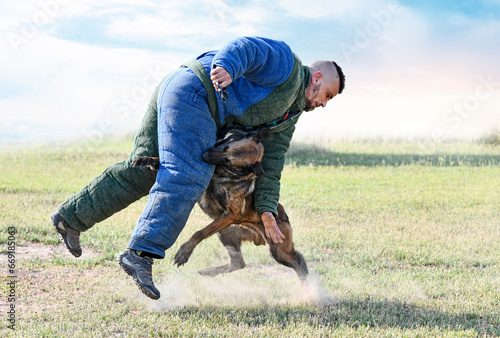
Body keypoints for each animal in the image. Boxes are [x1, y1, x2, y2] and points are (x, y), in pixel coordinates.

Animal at [131, 129, 306, 286]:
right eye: (226, 146)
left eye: (228, 161)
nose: (204, 155)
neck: (223, 173)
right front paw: (146, 160)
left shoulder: (231, 214)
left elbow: (199, 232)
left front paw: (185, 251)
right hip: (225, 233)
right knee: (238, 263)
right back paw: (209, 272)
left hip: (278, 250)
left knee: (299, 263)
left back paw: (307, 289)